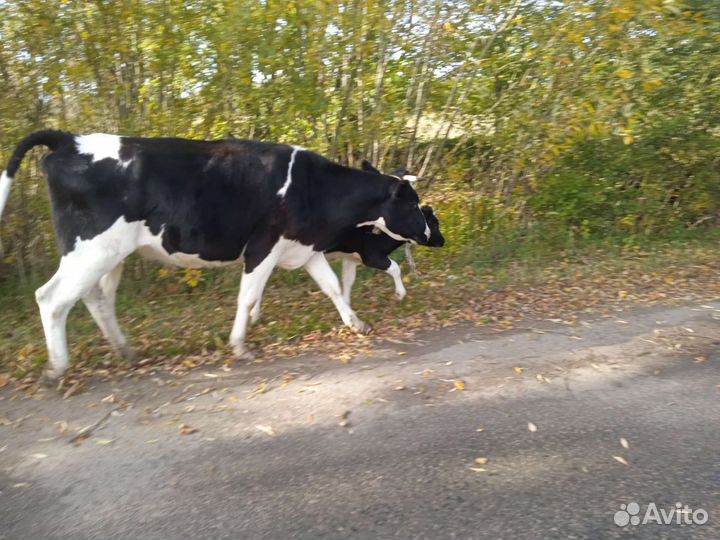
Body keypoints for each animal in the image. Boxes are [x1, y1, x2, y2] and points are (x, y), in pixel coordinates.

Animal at [0, 130, 433, 380]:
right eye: (413, 204)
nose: (432, 235)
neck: (316, 190)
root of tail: (68, 138)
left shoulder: (304, 248)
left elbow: (332, 289)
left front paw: (357, 324)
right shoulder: (263, 246)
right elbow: (247, 296)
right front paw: (240, 343)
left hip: (108, 254)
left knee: (96, 298)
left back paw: (125, 352)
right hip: (92, 247)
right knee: (52, 298)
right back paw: (57, 368)